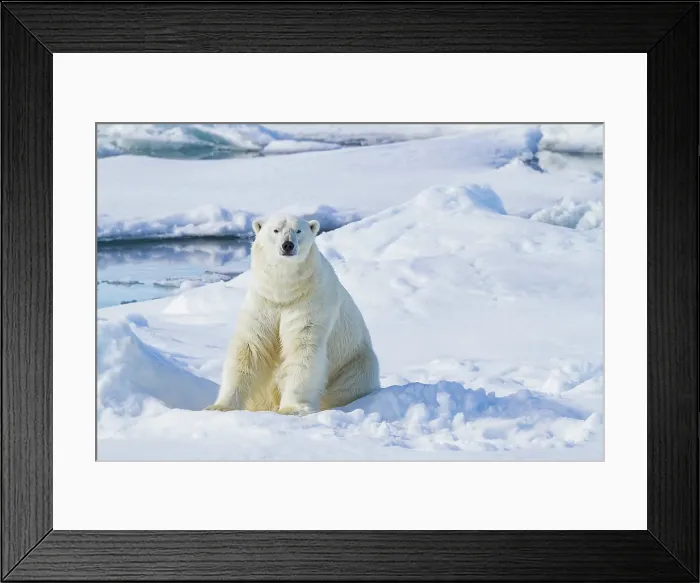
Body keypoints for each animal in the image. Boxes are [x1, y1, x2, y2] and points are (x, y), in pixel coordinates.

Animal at [206, 214, 380, 415]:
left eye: (298, 230)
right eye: (275, 230)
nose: (287, 245)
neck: (284, 293)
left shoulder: (310, 303)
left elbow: (302, 348)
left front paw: (291, 408)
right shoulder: (263, 302)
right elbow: (251, 348)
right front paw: (220, 406)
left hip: (354, 363)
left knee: (348, 385)